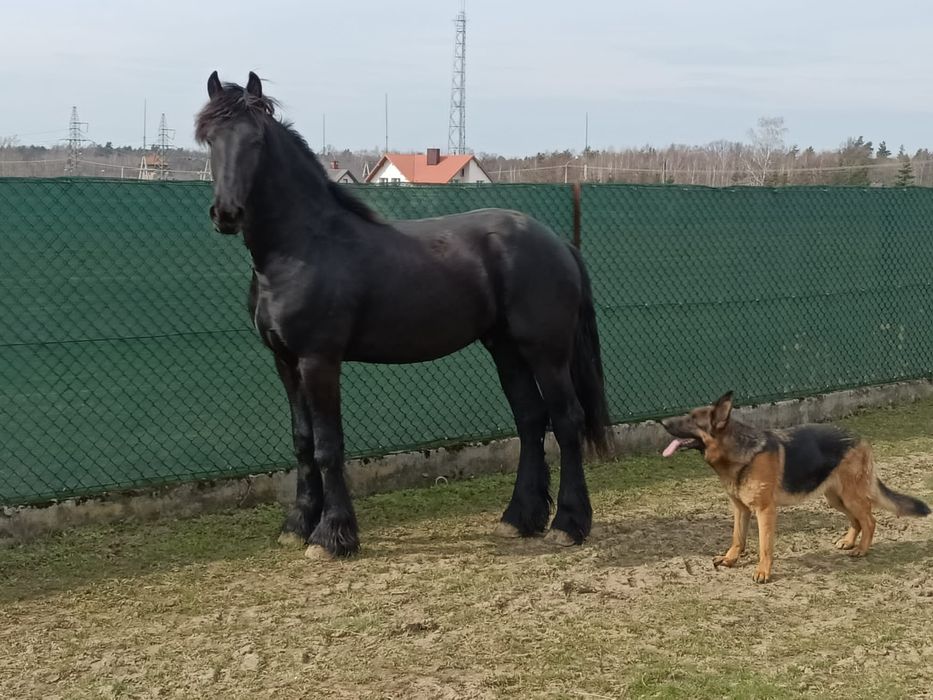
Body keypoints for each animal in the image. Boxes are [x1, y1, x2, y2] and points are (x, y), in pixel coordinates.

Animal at [195, 68, 612, 556]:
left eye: (256, 140)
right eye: (209, 139)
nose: (226, 213)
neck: (304, 245)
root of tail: (556, 242)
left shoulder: (319, 361)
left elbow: (328, 445)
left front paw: (332, 535)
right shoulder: (285, 361)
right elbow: (302, 442)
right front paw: (297, 525)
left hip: (546, 353)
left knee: (566, 421)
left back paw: (569, 523)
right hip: (506, 349)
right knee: (530, 420)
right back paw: (519, 518)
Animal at [660, 392, 928, 584]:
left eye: (691, 419)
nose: (661, 421)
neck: (740, 452)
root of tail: (860, 438)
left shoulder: (765, 511)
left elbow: (765, 546)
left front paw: (763, 572)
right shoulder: (740, 509)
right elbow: (737, 538)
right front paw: (730, 559)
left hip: (850, 496)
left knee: (870, 520)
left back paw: (861, 550)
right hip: (836, 498)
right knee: (857, 520)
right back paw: (849, 542)